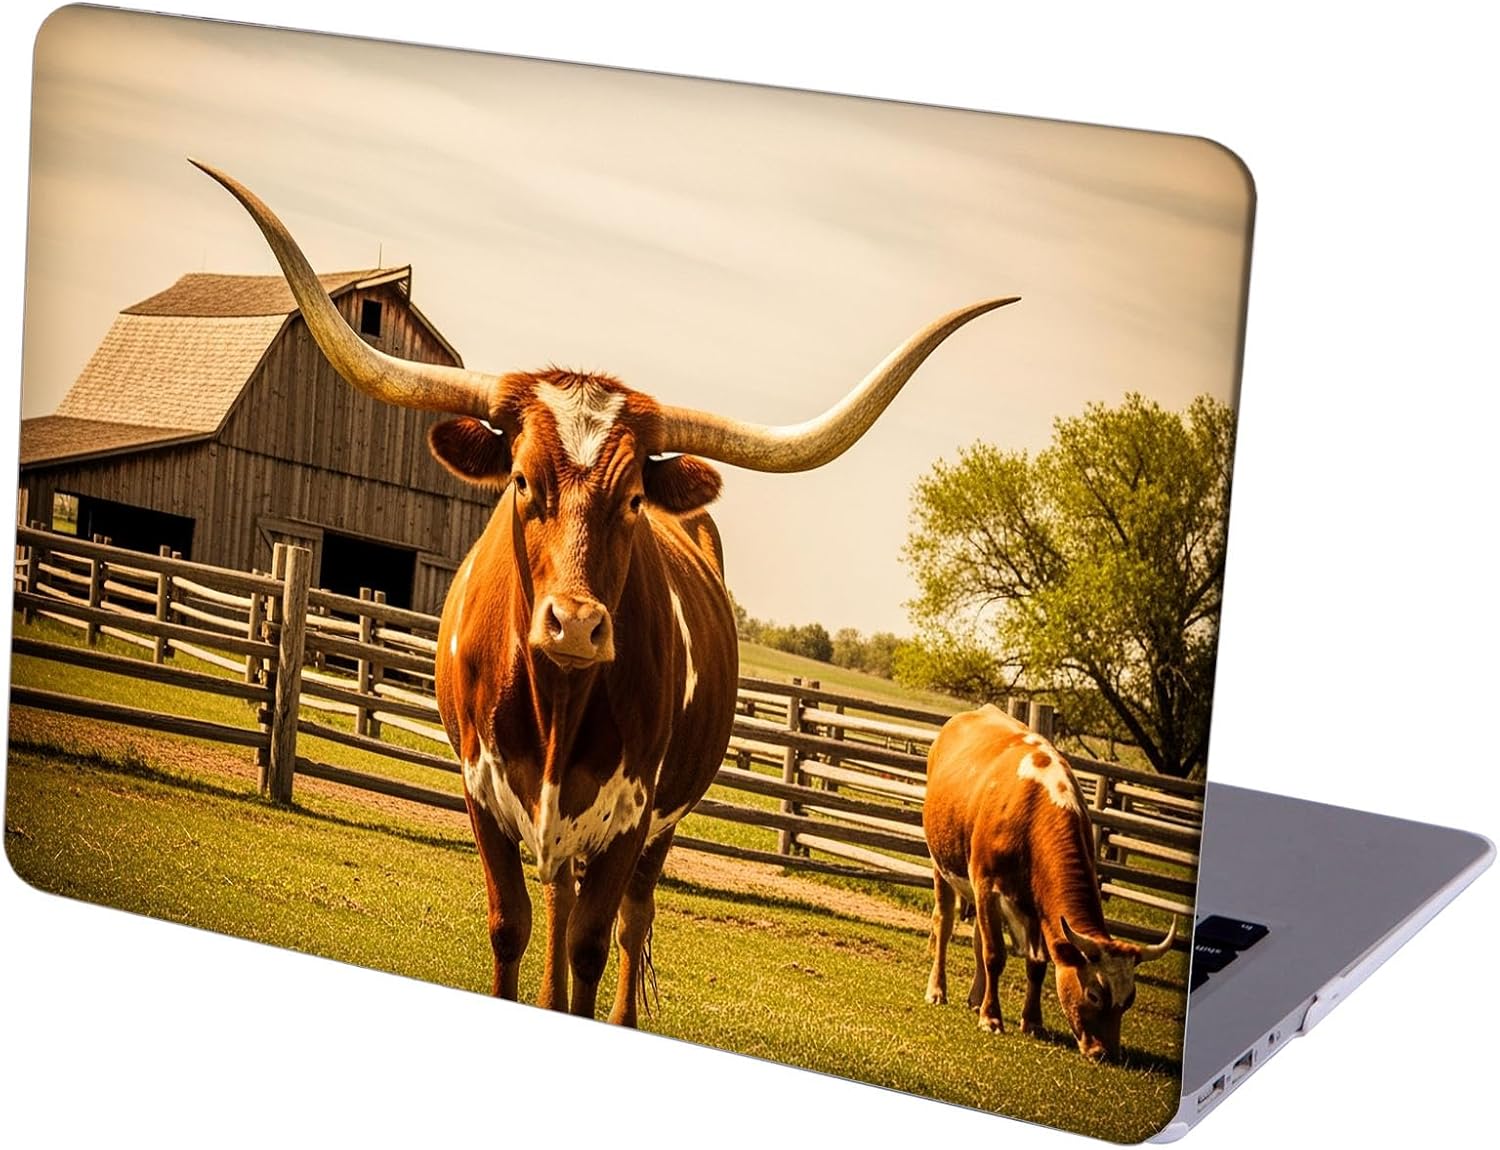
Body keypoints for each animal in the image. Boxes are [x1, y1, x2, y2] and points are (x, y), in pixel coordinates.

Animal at [194, 160, 1017, 1026]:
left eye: (633, 500)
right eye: (522, 481)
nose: (576, 626)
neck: (558, 700)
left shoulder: (631, 816)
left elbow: (594, 942)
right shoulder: (482, 791)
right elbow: (512, 925)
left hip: (658, 828)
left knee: (631, 920)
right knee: (558, 902)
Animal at [923, 704, 1176, 1060]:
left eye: (1129, 1000)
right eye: (1094, 994)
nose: (1105, 1053)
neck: (1032, 816)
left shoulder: (1038, 908)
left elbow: (1037, 965)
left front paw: (1032, 1021)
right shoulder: (987, 886)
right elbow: (994, 955)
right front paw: (992, 1018)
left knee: (976, 939)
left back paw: (975, 998)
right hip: (942, 865)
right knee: (944, 926)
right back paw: (938, 990)